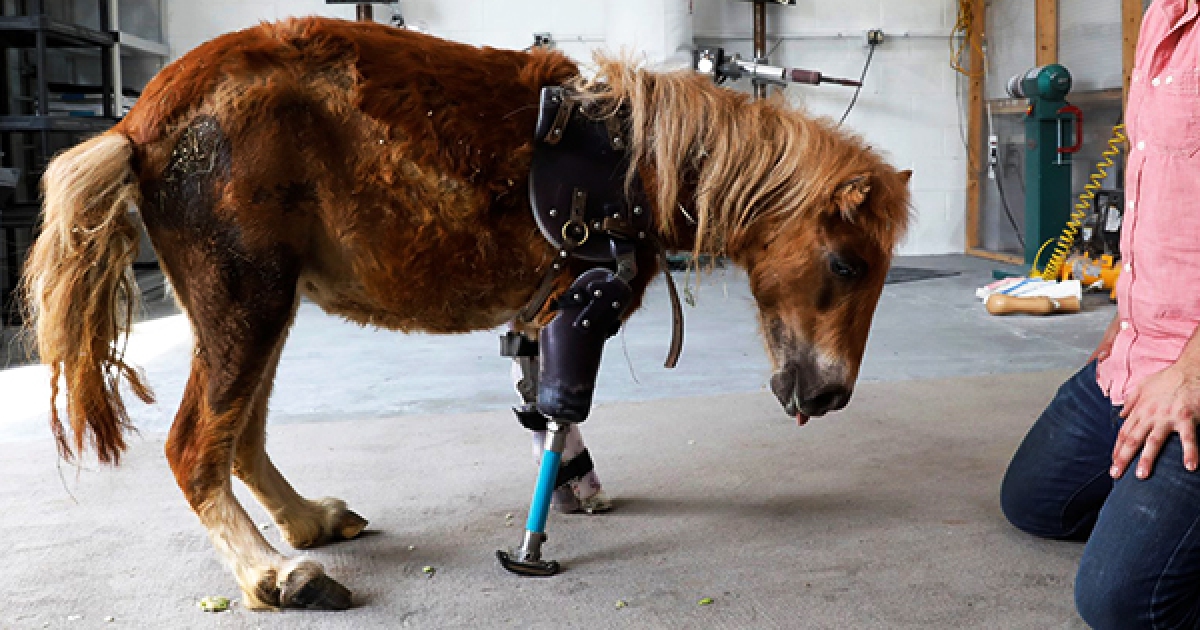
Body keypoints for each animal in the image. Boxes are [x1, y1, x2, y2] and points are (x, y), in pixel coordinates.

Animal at [22, 16, 911, 610]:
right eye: (846, 264)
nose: (830, 394)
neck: (645, 163)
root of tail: (139, 125)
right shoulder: (585, 302)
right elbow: (562, 407)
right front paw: (537, 540)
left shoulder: (545, 313)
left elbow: (545, 408)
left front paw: (578, 487)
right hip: (247, 299)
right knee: (196, 444)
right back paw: (275, 573)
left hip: (265, 304)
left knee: (241, 436)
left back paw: (306, 522)